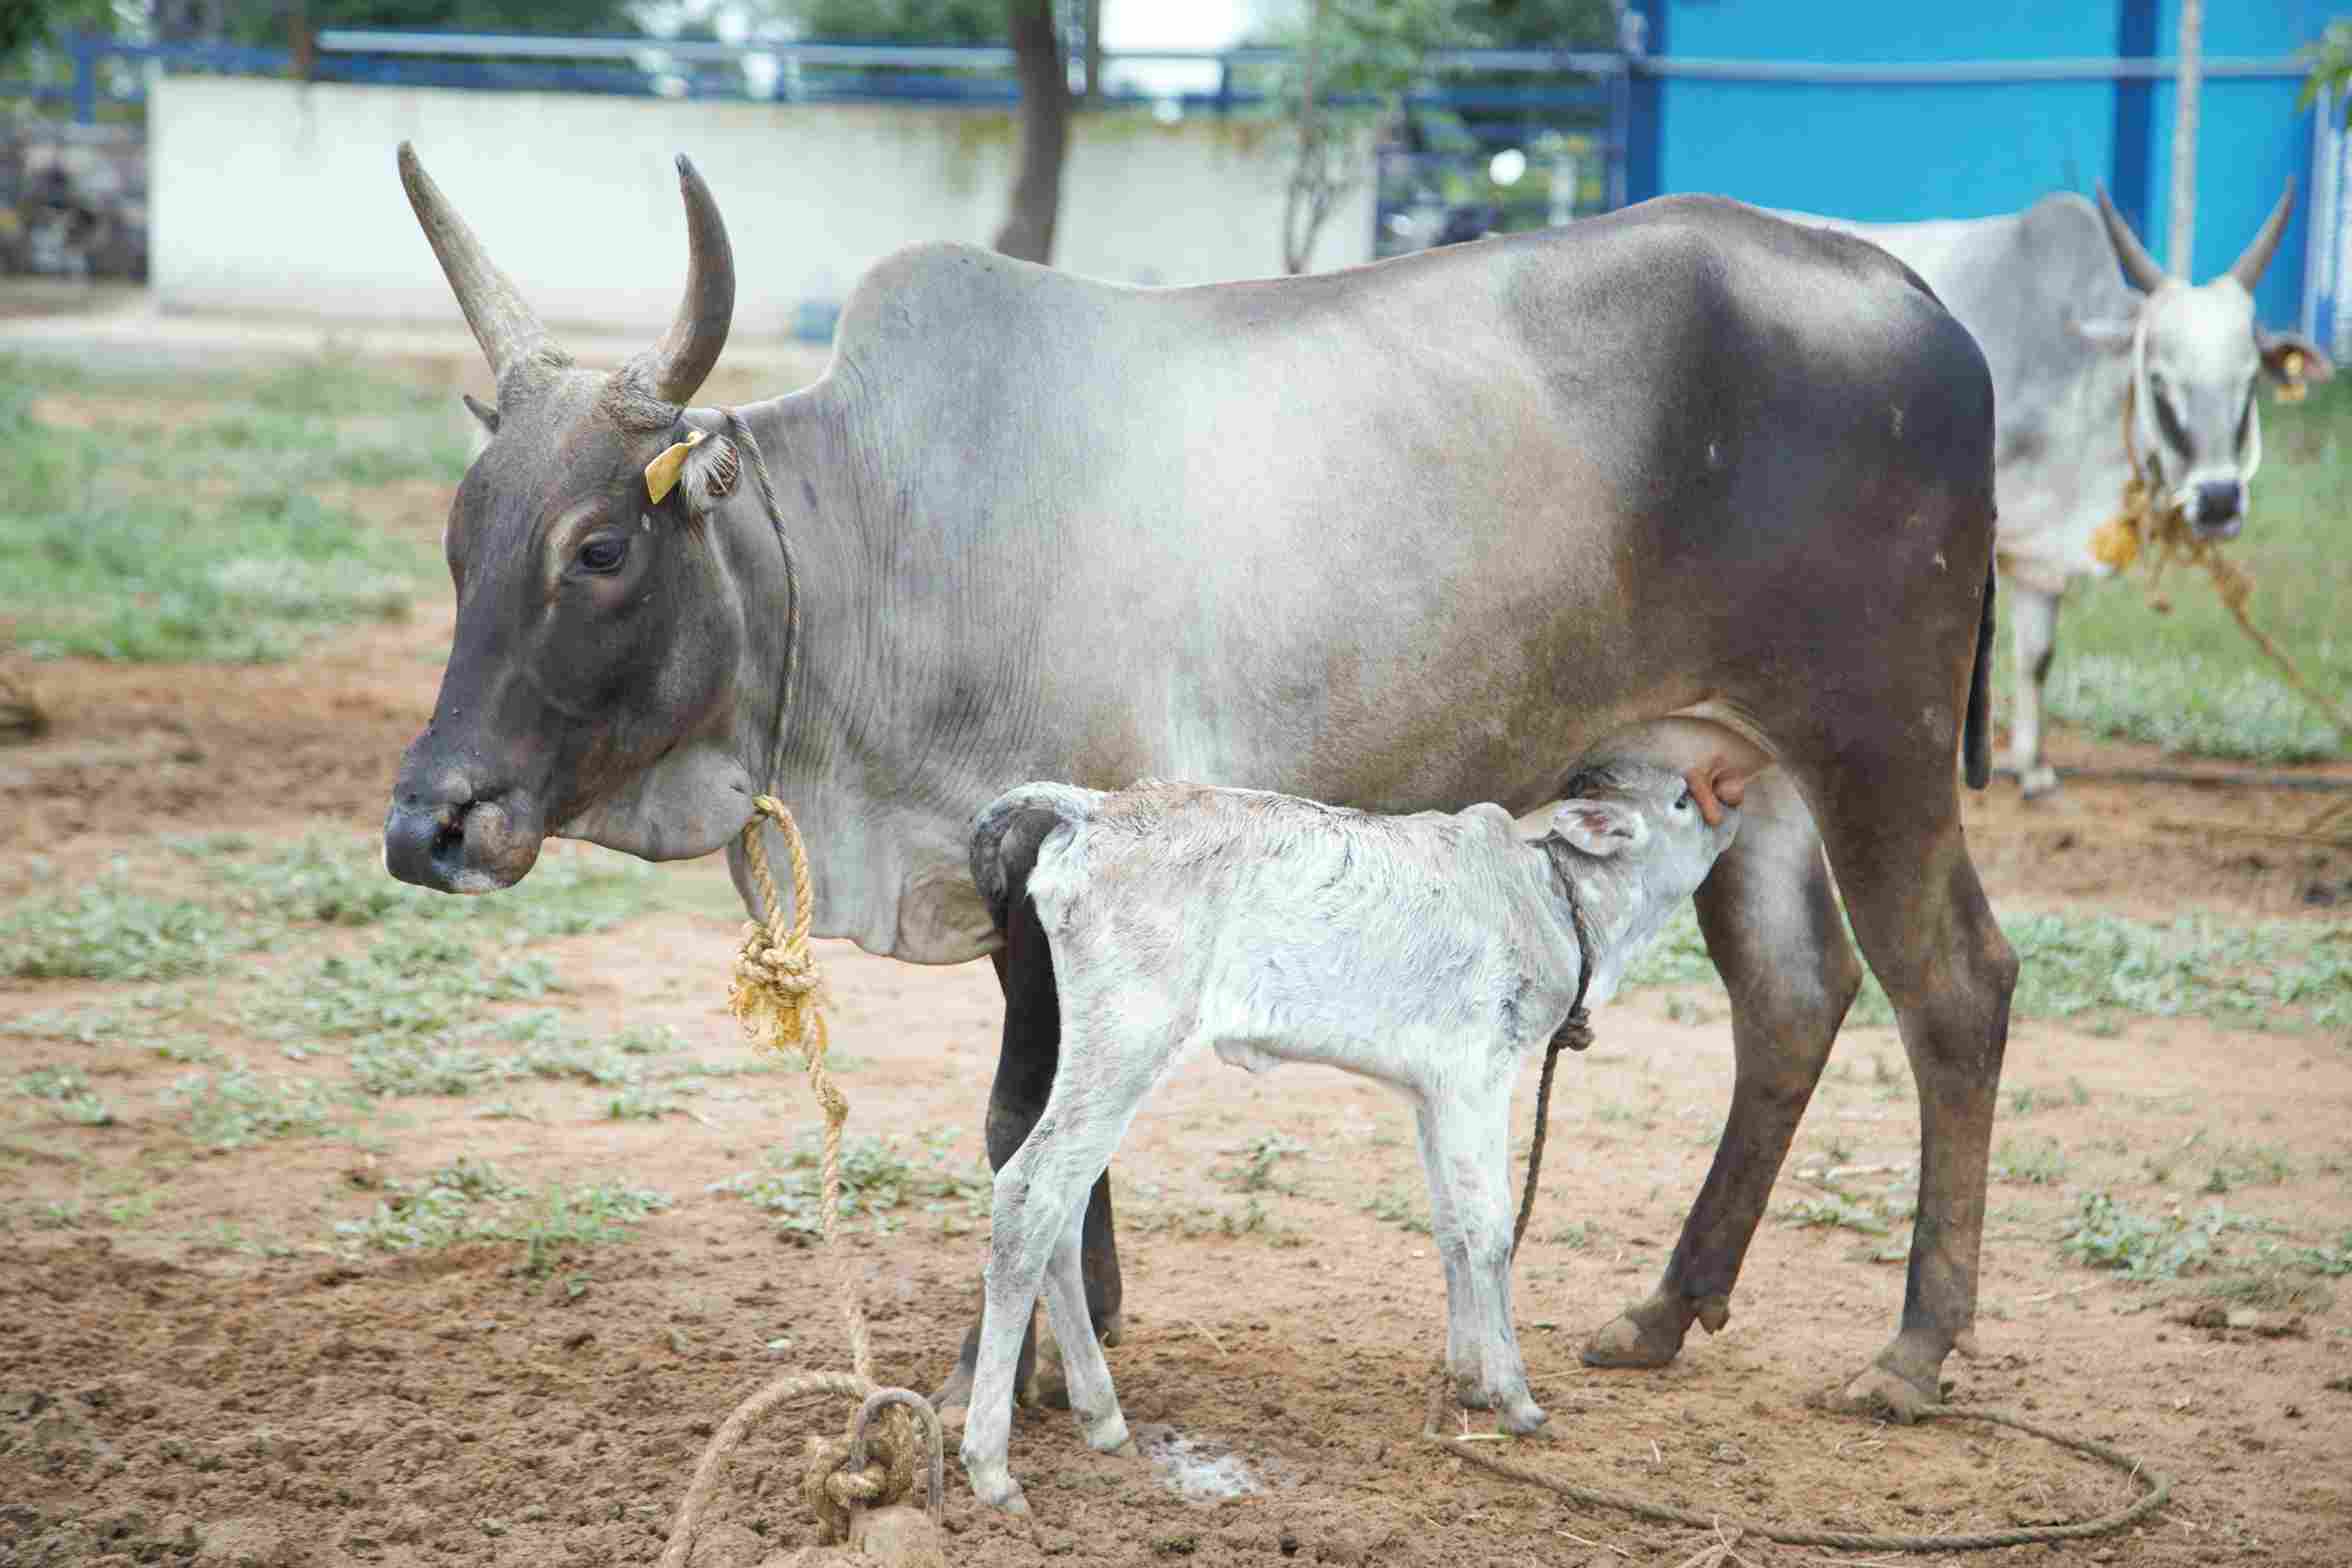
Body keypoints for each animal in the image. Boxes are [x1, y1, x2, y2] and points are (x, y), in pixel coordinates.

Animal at [385, 150, 2022, 1438]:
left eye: (598, 548)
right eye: (461, 543)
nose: (429, 823)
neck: (879, 539)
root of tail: (1906, 286)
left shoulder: (1050, 873)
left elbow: (1023, 1123)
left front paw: (1014, 1367)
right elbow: (1044, 1130)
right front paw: (1067, 1350)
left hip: (1877, 743)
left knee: (1952, 986)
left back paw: (1913, 1351)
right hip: (1731, 770)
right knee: (1795, 999)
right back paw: (1670, 1308)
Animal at [954, 766, 1749, 1513]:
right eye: (1682, 801)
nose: (1732, 803)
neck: (1546, 893)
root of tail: (1094, 808)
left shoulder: (1431, 1093)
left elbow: (1451, 1230)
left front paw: (1468, 1379)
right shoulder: (1478, 1077)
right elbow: (1491, 1231)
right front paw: (1516, 1397)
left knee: (1063, 1207)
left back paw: (1102, 1415)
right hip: (1128, 1044)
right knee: (1031, 1189)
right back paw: (991, 1465)